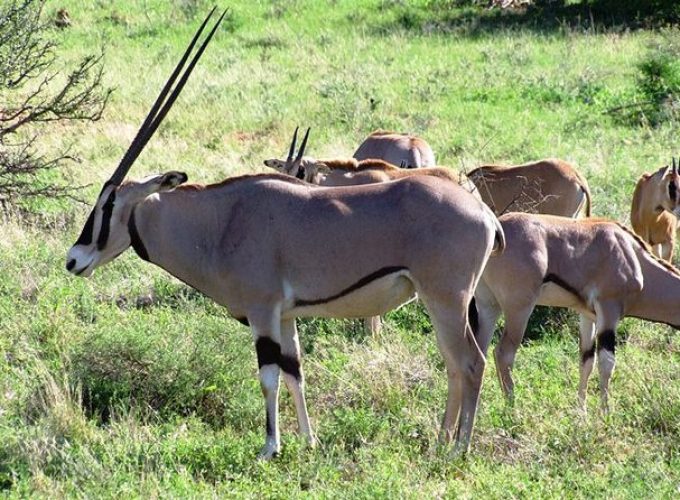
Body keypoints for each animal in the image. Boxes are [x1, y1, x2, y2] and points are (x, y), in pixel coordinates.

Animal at [66, 10, 508, 458]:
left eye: (108, 203)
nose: (73, 259)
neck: (223, 220)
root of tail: (486, 216)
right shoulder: (287, 316)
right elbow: (296, 372)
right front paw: (309, 440)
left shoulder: (262, 312)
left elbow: (268, 377)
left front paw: (269, 448)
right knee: (453, 365)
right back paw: (440, 441)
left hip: (446, 299)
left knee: (469, 362)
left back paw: (458, 448)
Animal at [472, 213, 680, 412]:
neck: (633, 255)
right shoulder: (608, 311)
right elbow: (606, 363)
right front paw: (605, 413)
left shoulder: (588, 316)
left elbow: (586, 362)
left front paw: (582, 413)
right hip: (519, 309)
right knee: (503, 354)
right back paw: (512, 410)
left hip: (489, 306)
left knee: (478, 352)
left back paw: (478, 409)